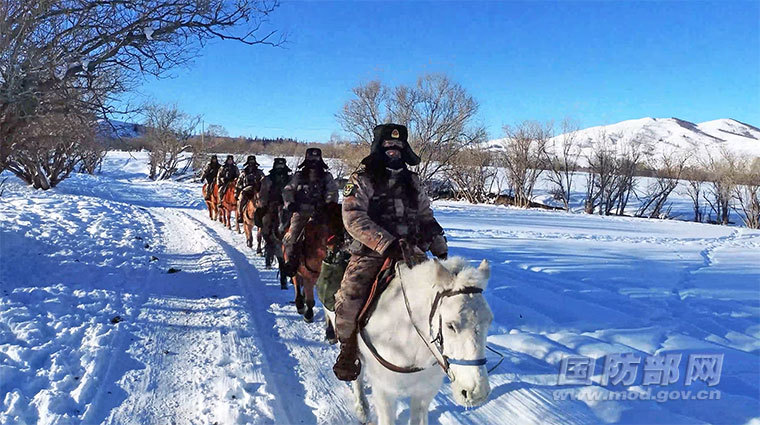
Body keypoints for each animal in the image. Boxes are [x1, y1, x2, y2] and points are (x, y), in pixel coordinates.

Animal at [326, 255, 492, 424]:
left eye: (489, 321)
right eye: (450, 325)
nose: (477, 393)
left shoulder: (425, 391)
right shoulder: (384, 392)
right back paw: (362, 408)